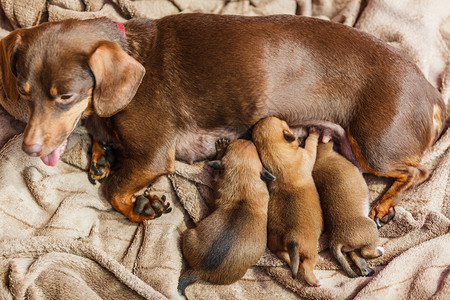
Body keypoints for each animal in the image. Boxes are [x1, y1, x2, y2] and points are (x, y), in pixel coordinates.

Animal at [0, 14, 444, 225]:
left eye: (66, 97)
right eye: (22, 91)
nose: (29, 148)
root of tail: (434, 93)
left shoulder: (153, 156)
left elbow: (114, 191)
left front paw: (142, 207)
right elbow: (102, 143)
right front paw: (99, 154)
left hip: (374, 147)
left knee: (418, 172)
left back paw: (384, 204)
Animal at [253, 116, 324, 286]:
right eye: (283, 122)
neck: (275, 154)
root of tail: (291, 238)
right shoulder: (308, 154)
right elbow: (311, 144)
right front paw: (313, 132)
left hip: (276, 246)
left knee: (287, 258)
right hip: (311, 250)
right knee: (306, 265)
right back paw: (314, 280)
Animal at [312, 142, 384, 278]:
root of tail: (335, 241)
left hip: (351, 247)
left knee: (357, 255)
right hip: (371, 229)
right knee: (366, 251)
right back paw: (379, 252)